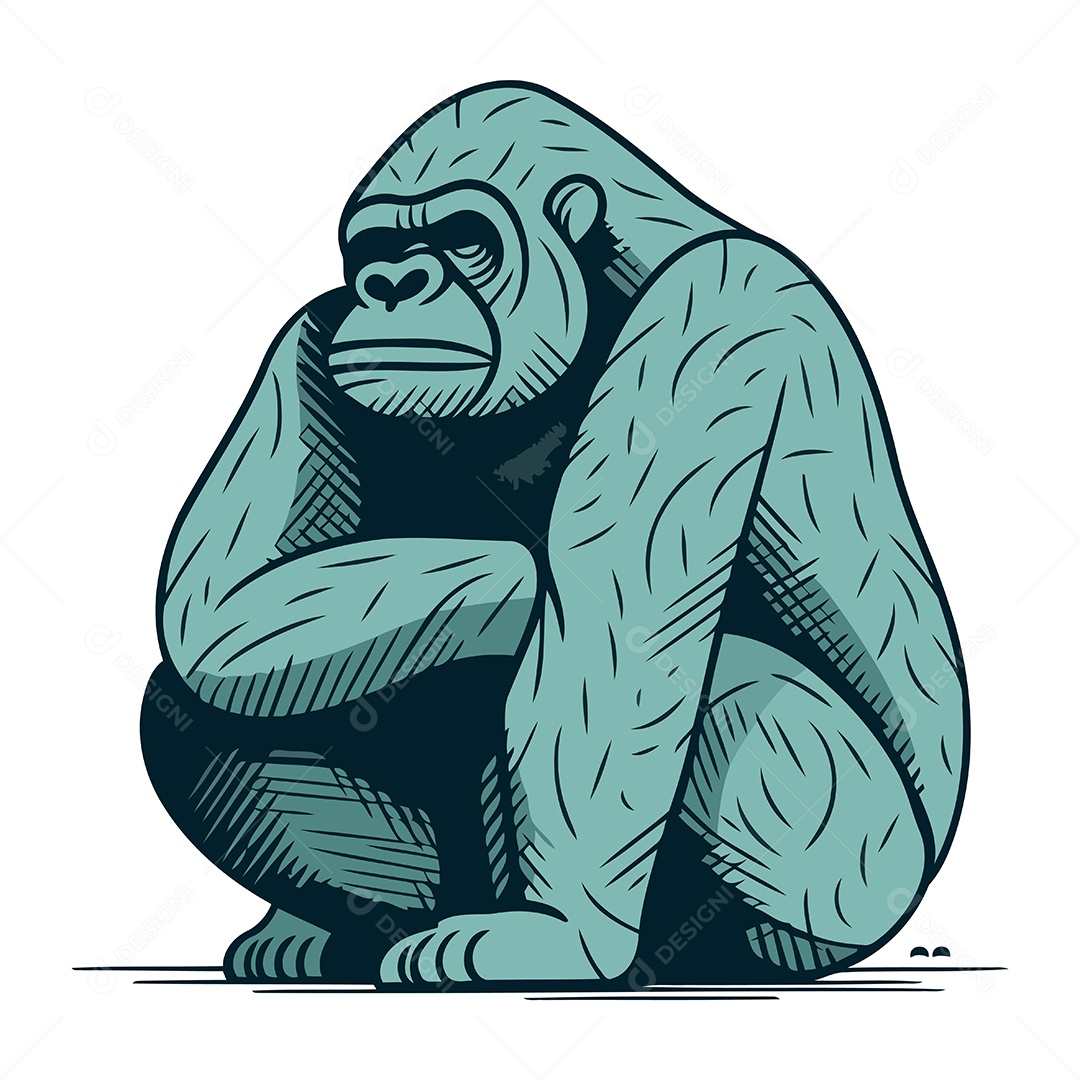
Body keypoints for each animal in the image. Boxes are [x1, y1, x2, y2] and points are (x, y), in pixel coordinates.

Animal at [141, 82, 968, 987]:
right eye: (379, 249)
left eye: (465, 238)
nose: (394, 283)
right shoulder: (311, 335)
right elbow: (218, 610)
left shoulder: (718, 306)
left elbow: (614, 643)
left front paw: (561, 932)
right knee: (191, 704)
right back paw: (329, 929)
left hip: (854, 880)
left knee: (733, 686)